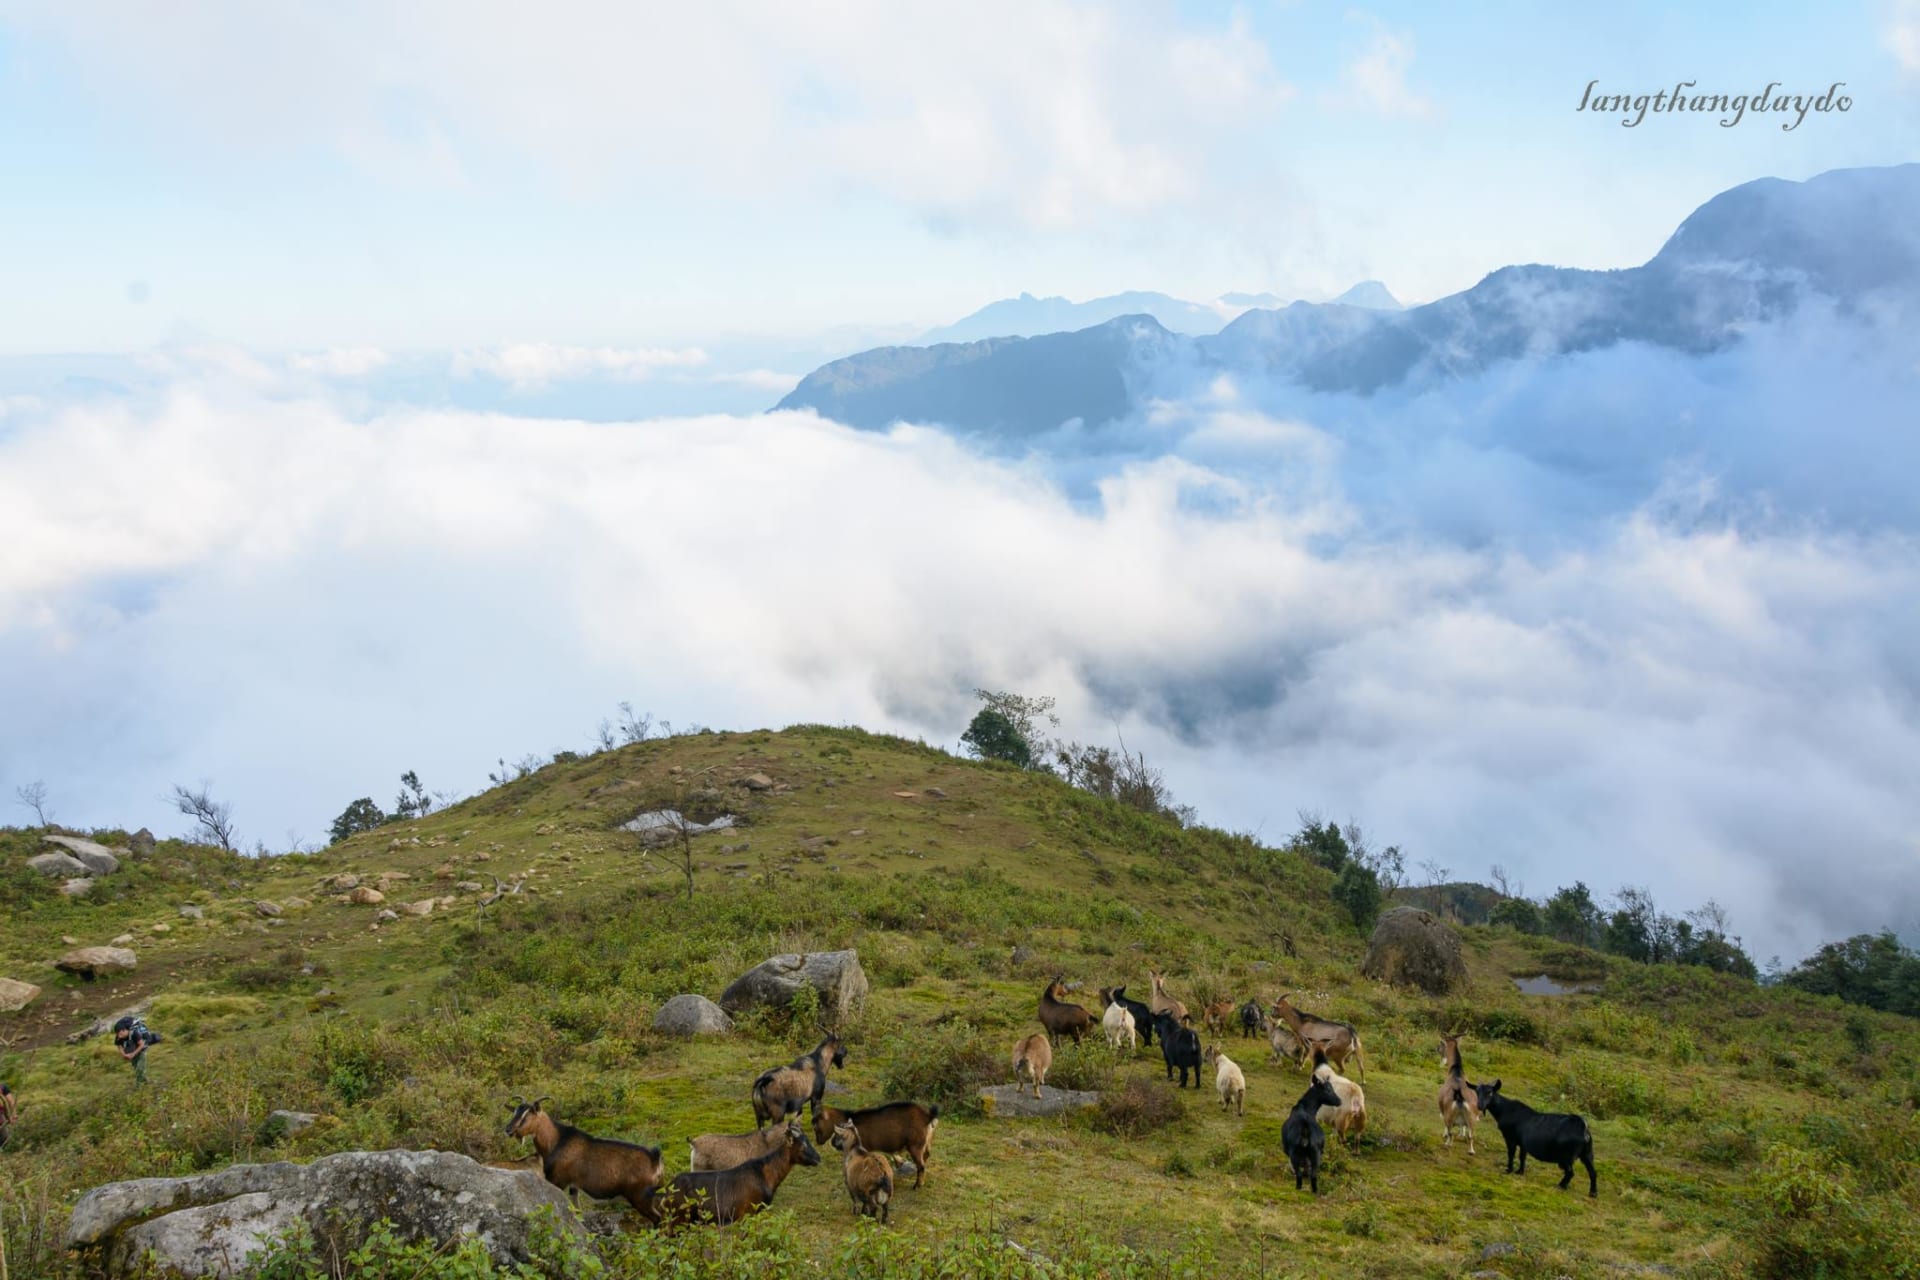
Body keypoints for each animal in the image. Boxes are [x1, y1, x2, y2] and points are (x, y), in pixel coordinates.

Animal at [506, 1105, 664, 1212]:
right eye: (514, 1112)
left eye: (526, 1116)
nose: (508, 1129)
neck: (557, 1140)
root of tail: (655, 1159)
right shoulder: (574, 1186)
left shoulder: (558, 1180)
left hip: (640, 1197)